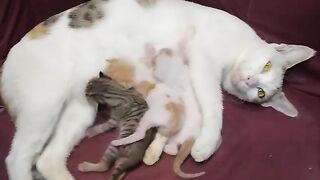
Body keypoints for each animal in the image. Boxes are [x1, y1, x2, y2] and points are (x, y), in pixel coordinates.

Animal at [0, 0, 316, 180]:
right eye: (266, 66)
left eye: (262, 94)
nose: (251, 82)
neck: (234, 53)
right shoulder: (202, 61)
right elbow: (215, 105)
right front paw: (207, 143)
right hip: (45, 104)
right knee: (18, 158)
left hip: (80, 109)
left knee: (47, 159)